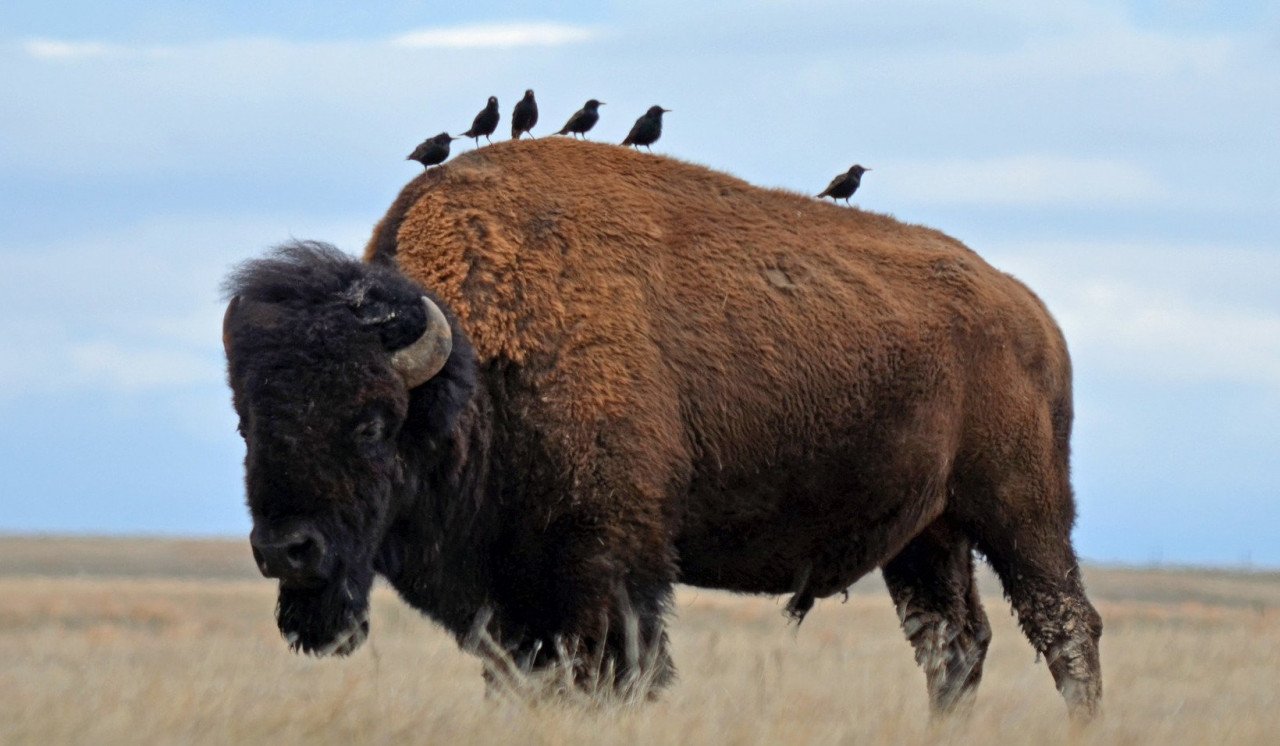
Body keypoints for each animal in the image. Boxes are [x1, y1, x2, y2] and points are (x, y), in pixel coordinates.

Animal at [222, 138, 1102, 719]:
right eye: (246, 424)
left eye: (373, 423)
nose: (287, 551)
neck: (477, 369)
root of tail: (1028, 310)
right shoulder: (511, 599)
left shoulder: (604, 569)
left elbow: (611, 675)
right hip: (927, 535)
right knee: (953, 644)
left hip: (1022, 513)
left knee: (1064, 628)